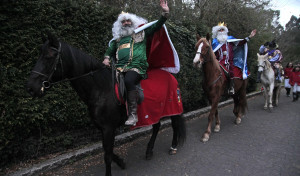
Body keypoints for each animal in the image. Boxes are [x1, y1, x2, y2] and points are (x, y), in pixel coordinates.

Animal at [26, 32, 185, 175]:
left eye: (49, 57)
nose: (32, 88)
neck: (101, 88)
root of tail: (170, 75)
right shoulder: (102, 128)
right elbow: (106, 150)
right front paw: (121, 162)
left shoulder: (109, 128)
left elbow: (107, 156)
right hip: (152, 111)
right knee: (157, 127)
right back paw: (149, 151)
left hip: (172, 106)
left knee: (175, 124)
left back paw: (173, 147)